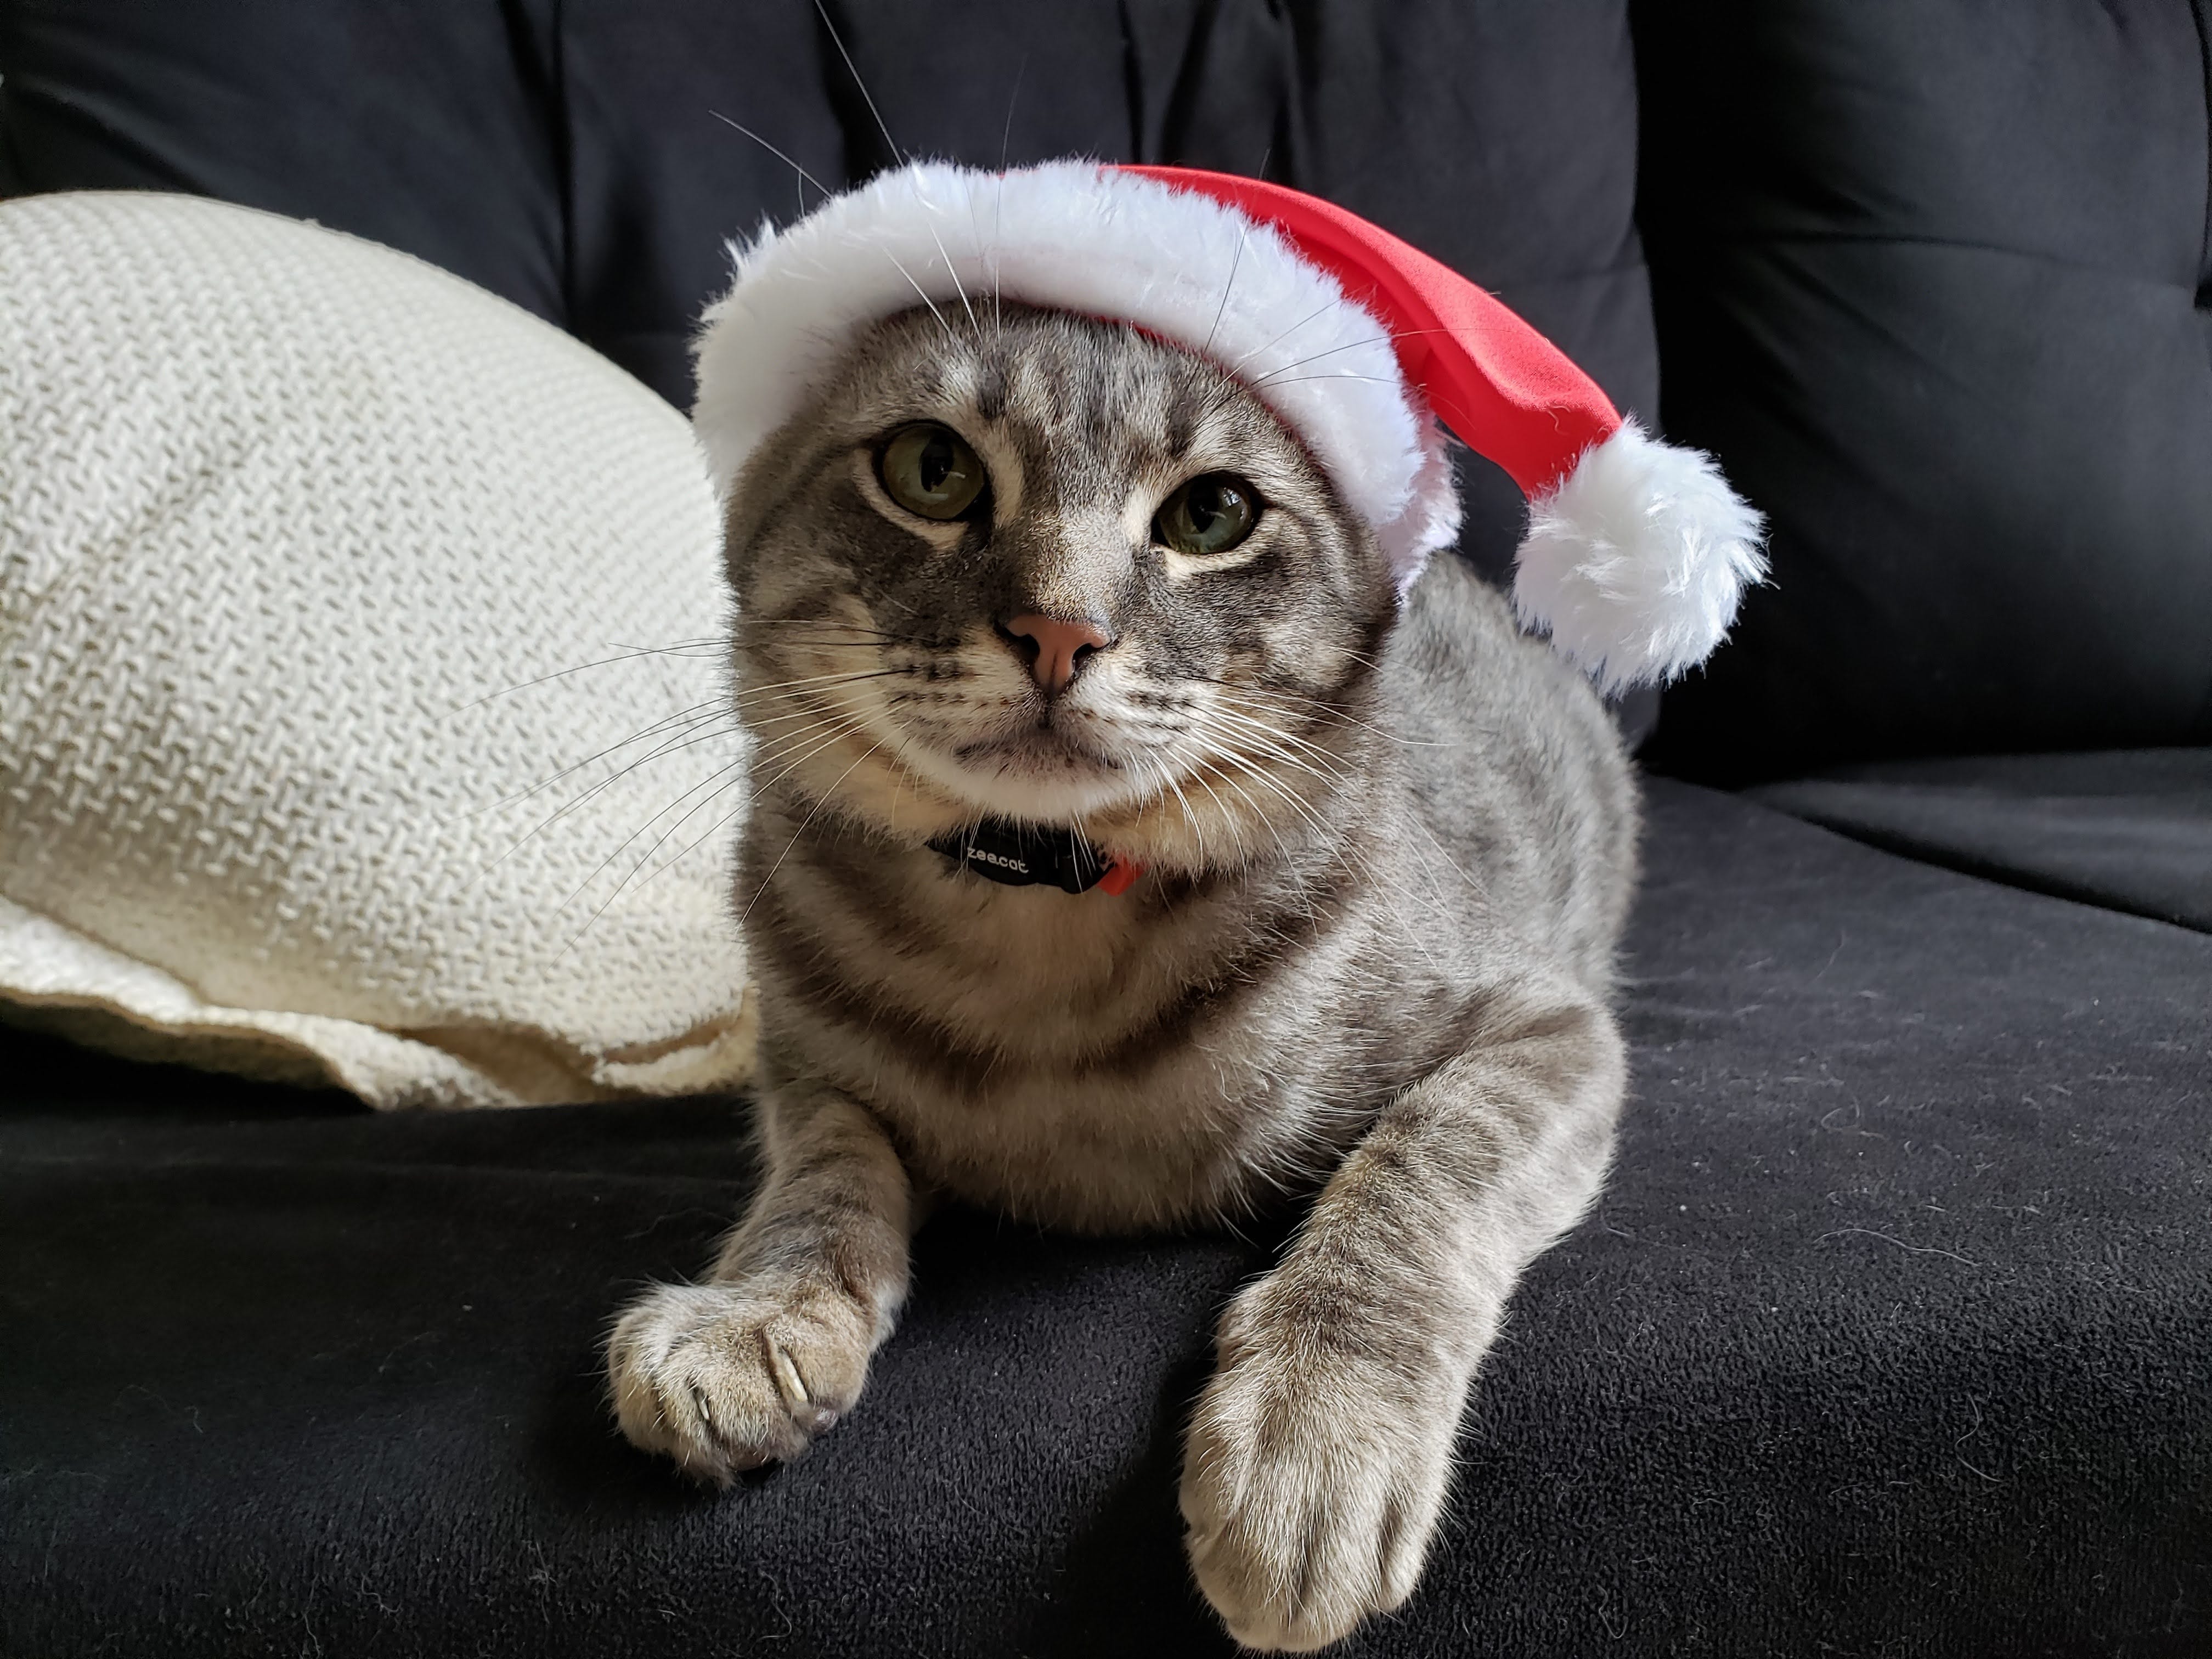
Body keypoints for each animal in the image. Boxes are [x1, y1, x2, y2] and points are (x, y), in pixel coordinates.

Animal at [610, 298, 1645, 1654]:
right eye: (930, 469)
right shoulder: (795, 1054)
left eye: (1212, 513)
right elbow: (824, 1167)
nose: (1059, 628)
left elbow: (1414, 1175)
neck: (1043, 952)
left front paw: (1315, 1428)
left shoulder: (1544, 1030)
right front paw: (754, 1314)